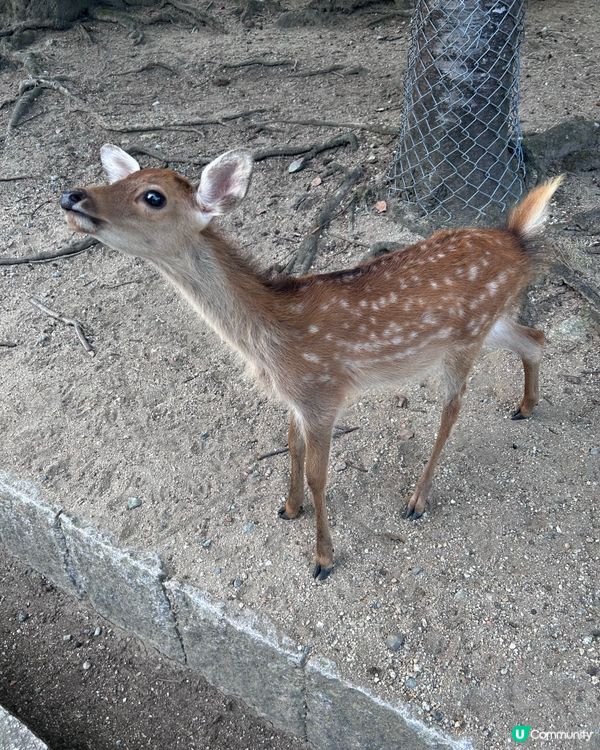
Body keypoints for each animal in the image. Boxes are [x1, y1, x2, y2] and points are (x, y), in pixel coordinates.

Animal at [59, 144, 562, 580]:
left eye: (153, 196)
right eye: (120, 178)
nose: (71, 195)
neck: (273, 341)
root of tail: (517, 239)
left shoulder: (323, 392)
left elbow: (319, 475)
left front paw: (322, 558)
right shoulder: (295, 397)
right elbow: (292, 447)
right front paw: (288, 507)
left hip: (463, 341)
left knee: (454, 408)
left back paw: (416, 499)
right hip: (488, 324)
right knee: (535, 338)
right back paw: (525, 406)